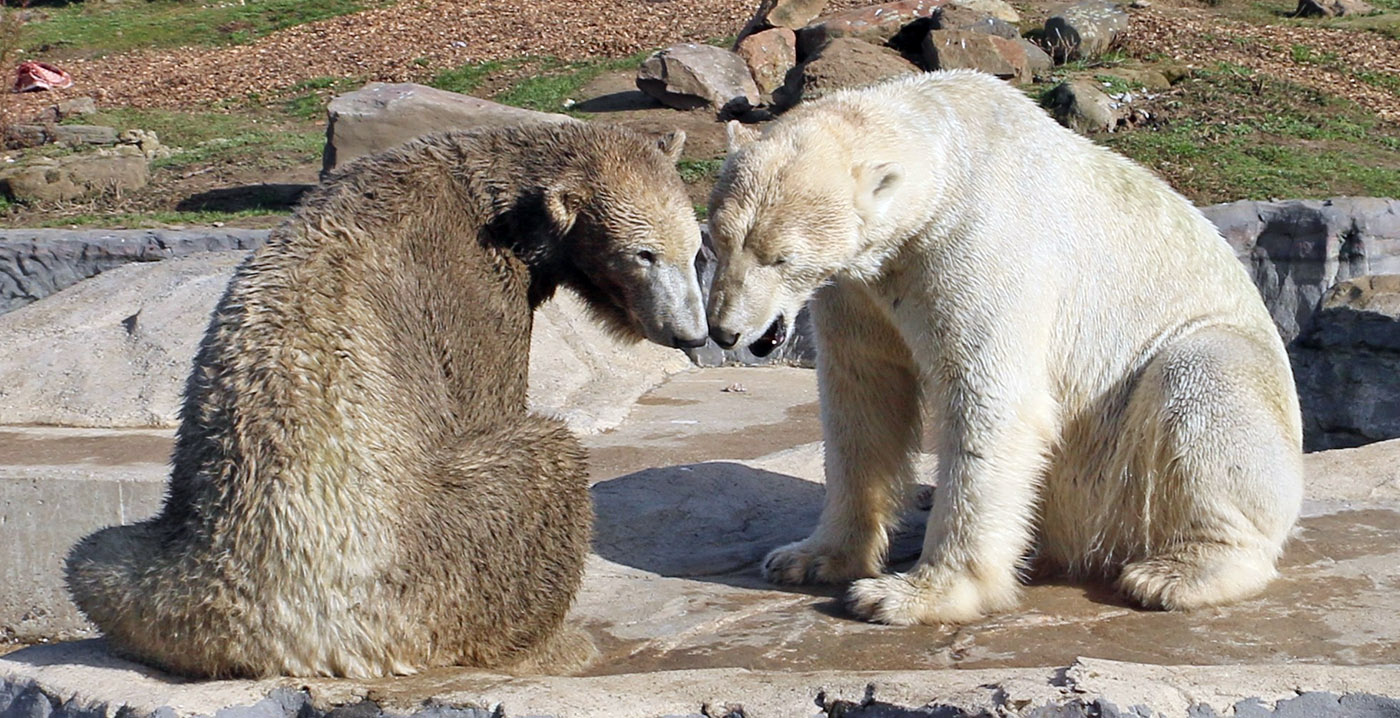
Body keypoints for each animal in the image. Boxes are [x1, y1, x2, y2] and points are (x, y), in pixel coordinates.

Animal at [63, 123, 711, 677]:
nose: (692, 333)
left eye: (695, 250)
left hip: (160, 578)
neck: (492, 189)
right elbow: (483, 400)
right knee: (543, 463)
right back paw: (556, 644)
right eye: (644, 254)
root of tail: (290, 643)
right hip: (421, 554)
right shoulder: (465, 275)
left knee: (95, 556)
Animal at [705, 69, 1304, 624]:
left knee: (1201, 381)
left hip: (1147, 447)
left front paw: (912, 595)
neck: (948, 163)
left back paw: (1175, 574)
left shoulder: (975, 246)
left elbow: (990, 400)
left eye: (781, 257)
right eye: (717, 240)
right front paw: (809, 558)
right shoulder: (861, 287)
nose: (725, 331)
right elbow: (863, 398)